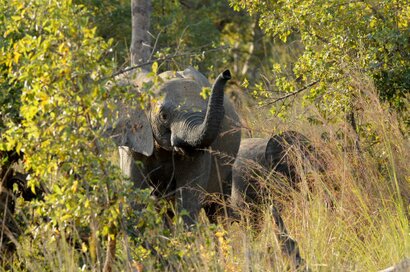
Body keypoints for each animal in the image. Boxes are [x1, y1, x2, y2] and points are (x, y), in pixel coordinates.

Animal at [110, 67, 242, 224]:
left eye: (221, 114)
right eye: (164, 116)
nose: (226, 73)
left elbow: (189, 197)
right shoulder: (133, 143)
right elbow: (134, 193)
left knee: (217, 207)